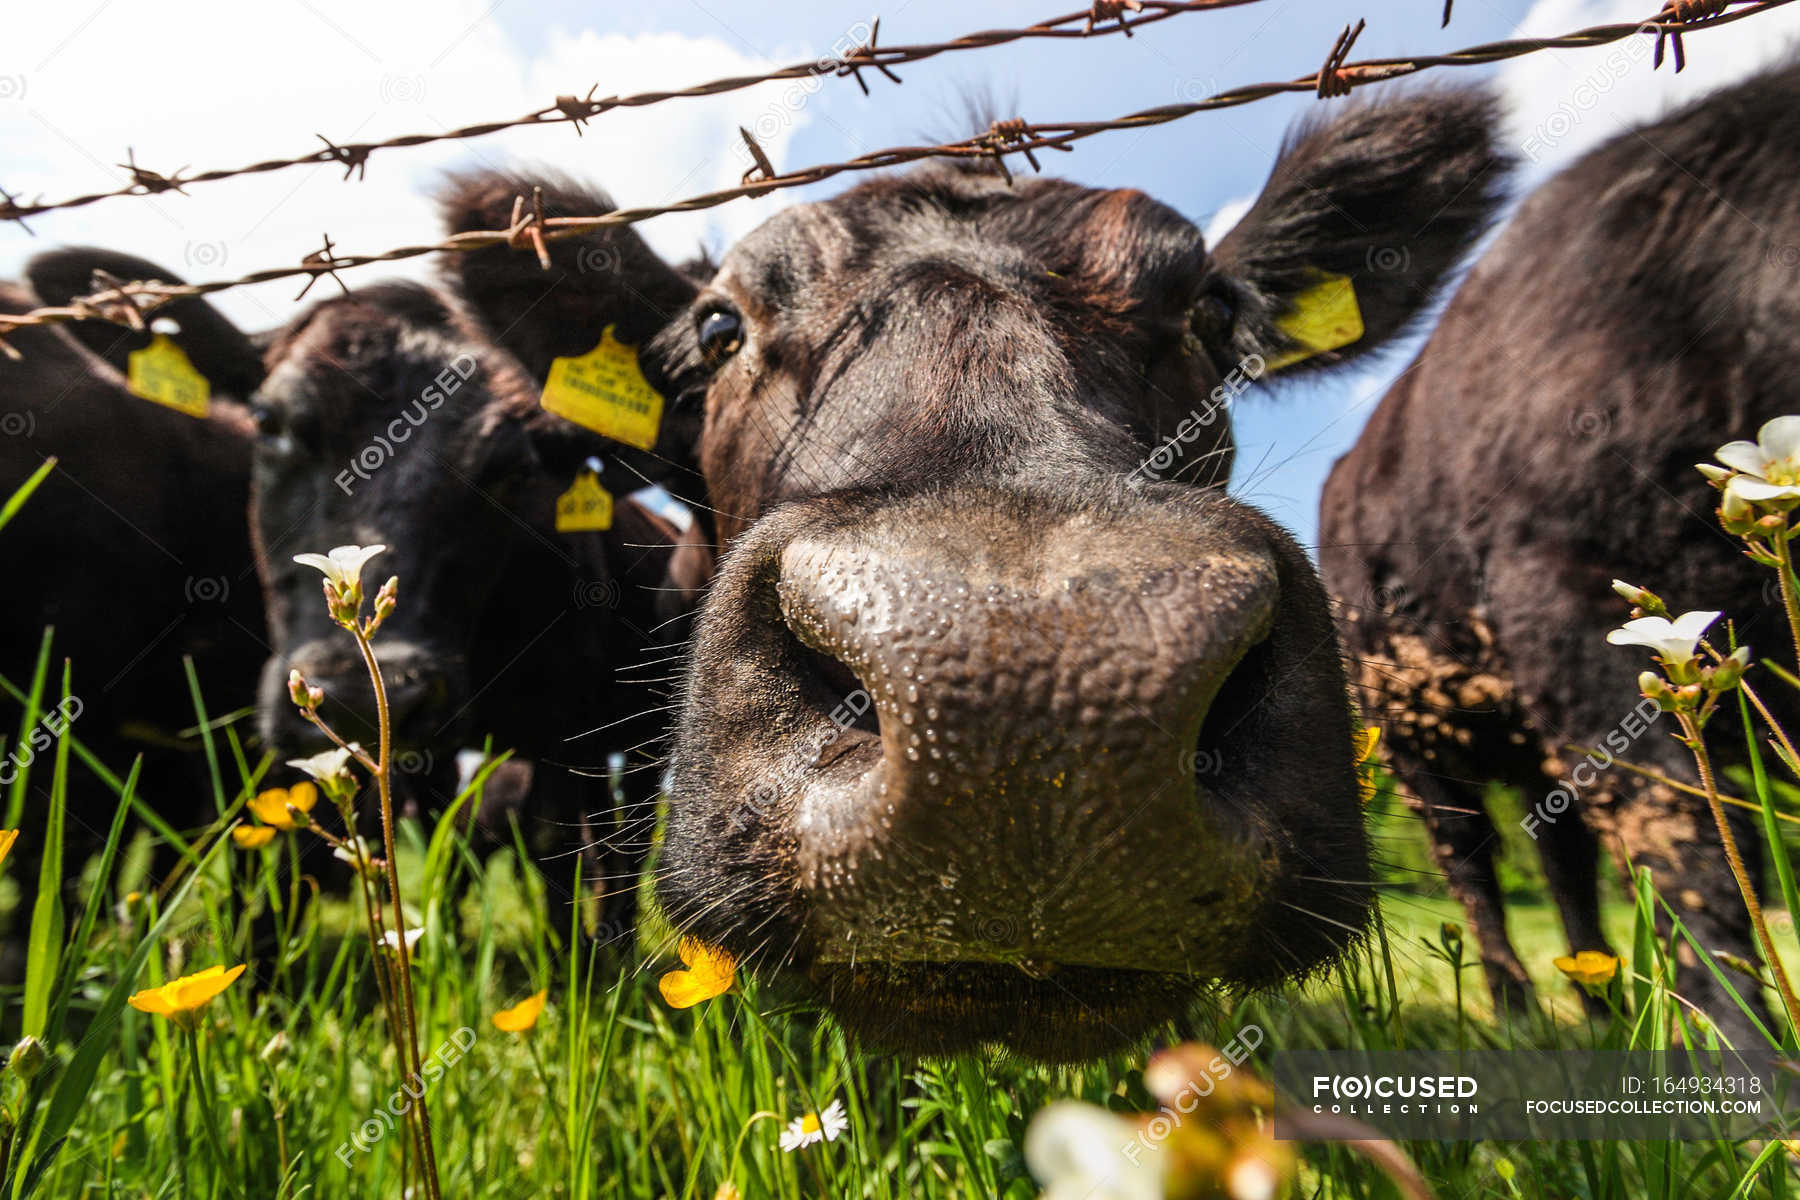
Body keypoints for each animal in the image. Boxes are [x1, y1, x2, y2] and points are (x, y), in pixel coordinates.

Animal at [1324, 61, 1800, 1043]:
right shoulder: (1562, 604)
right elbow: (1690, 847)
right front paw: (1747, 1065)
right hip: (1411, 735)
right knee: (1470, 857)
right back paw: (1516, 1016)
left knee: (1559, 848)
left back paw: (1599, 1002)